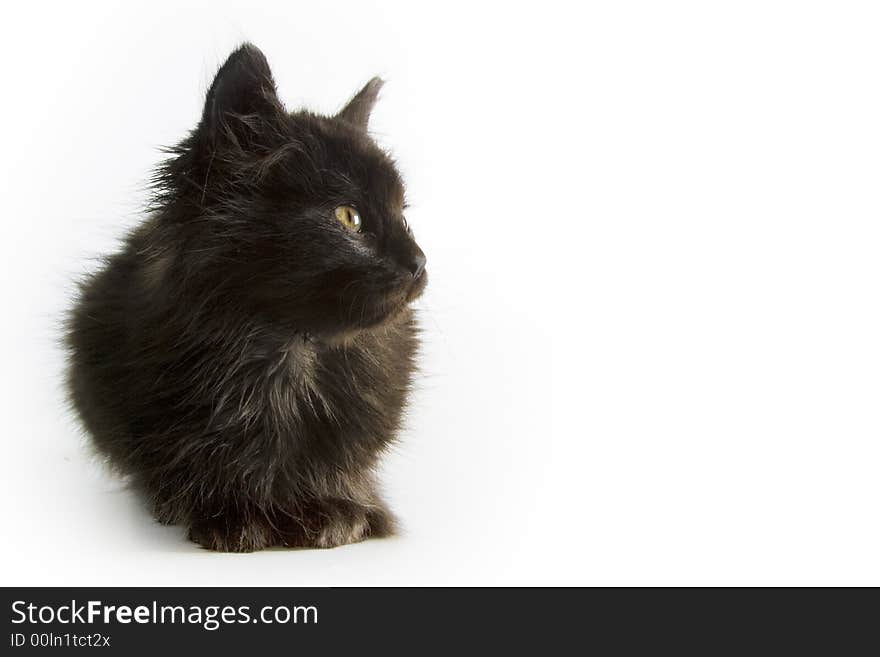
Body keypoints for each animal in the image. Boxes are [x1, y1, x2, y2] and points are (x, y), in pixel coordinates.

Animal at [65, 43, 426, 552]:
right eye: (348, 217)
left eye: (403, 216)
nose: (419, 261)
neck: (287, 356)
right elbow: (197, 461)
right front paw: (233, 516)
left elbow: (339, 464)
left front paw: (336, 511)